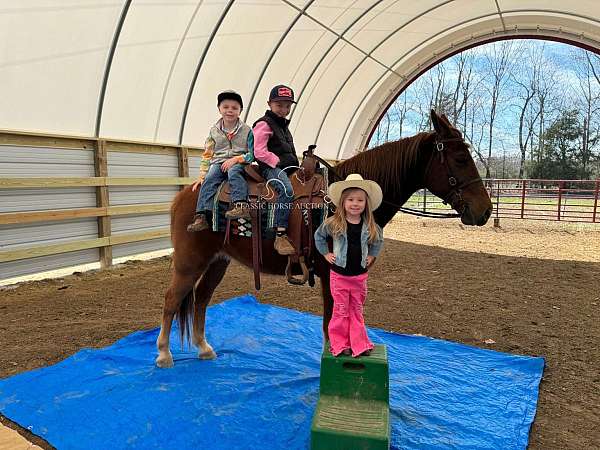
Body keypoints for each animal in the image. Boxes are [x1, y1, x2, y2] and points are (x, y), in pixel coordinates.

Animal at [155, 110, 492, 370]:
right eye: (460, 158)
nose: (485, 210)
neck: (342, 202)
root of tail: (187, 193)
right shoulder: (332, 273)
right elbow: (332, 318)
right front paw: (336, 354)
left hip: (217, 261)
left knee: (200, 299)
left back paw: (203, 348)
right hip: (189, 262)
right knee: (172, 299)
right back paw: (163, 354)